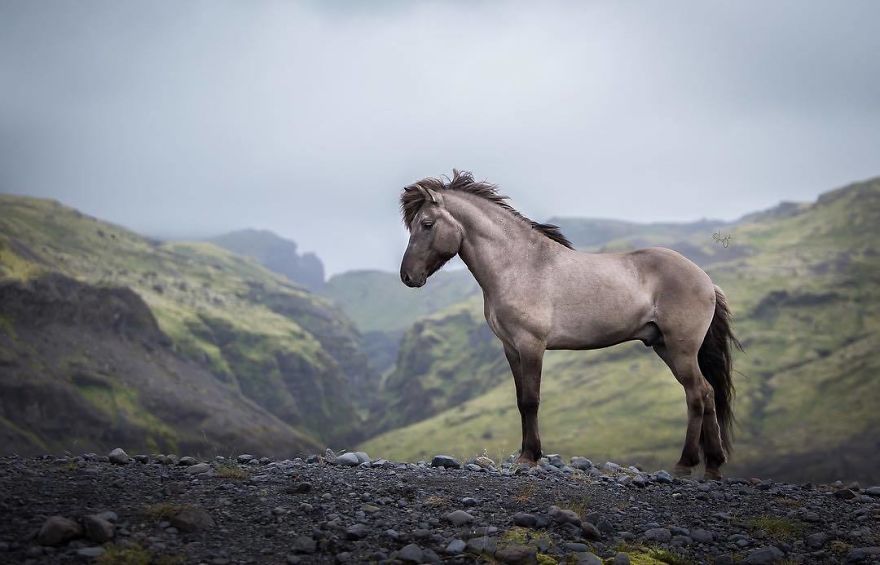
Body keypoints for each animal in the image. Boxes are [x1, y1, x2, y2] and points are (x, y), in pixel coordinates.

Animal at [398, 170, 742, 479]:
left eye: (427, 224)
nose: (407, 276)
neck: (519, 265)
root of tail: (706, 280)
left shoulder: (532, 345)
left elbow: (531, 400)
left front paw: (530, 457)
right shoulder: (511, 348)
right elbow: (520, 401)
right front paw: (526, 454)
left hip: (681, 349)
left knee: (696, 394)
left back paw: (685, 464)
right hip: (664, 346)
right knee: (707, 393)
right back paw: (713, 466)